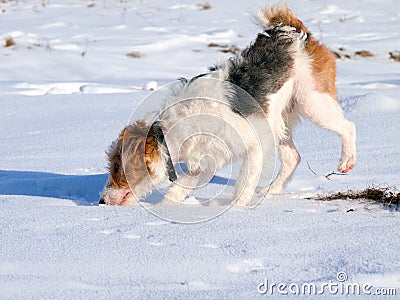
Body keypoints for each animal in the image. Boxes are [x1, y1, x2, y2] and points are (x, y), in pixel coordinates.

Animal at [100, 5, 356, 206]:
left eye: (116, 166)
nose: (101, 200)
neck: (173, 130)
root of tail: (291, 33)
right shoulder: (204, 163)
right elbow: (177, 190)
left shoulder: (253, 144)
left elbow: (243, 184)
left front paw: (235, 211)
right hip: (279, 122)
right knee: (293, 157)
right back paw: (270, 191)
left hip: (314, 104)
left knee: (348, 127)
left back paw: (346, 161)